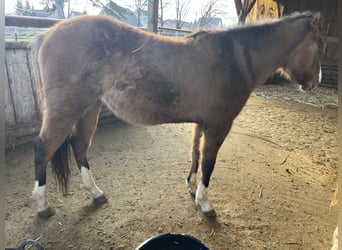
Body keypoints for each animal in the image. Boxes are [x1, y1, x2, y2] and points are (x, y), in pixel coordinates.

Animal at [31, 11, 320, 217]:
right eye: (316, 46)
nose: (315, 82)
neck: (236, 59)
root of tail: (48, 34)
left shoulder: (202, 123)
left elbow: (195, 154)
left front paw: (191, 187)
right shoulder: (219, 125)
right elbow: (209, 163)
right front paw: (205, 203)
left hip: (89, 108)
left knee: (79, 144)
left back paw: (95, 192)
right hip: (67, 108)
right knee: (44, 147)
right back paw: (42, 205)